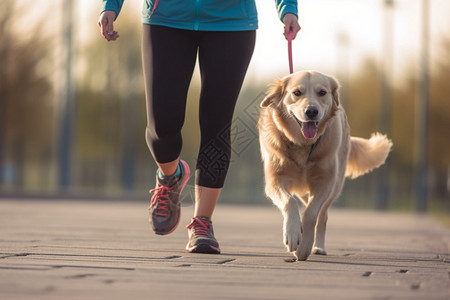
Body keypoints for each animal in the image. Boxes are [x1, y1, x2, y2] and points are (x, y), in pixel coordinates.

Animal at [258, 71, 392, 262]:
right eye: (297, 93)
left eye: (322, 92)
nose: (311, 111)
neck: (303, 145)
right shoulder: (274, 181)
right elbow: (290, 201)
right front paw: (292, 233)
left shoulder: (325, 182)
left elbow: (311, 214)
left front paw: (304, 246)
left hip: (335, 187)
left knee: (323, 215)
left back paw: (318, 247)